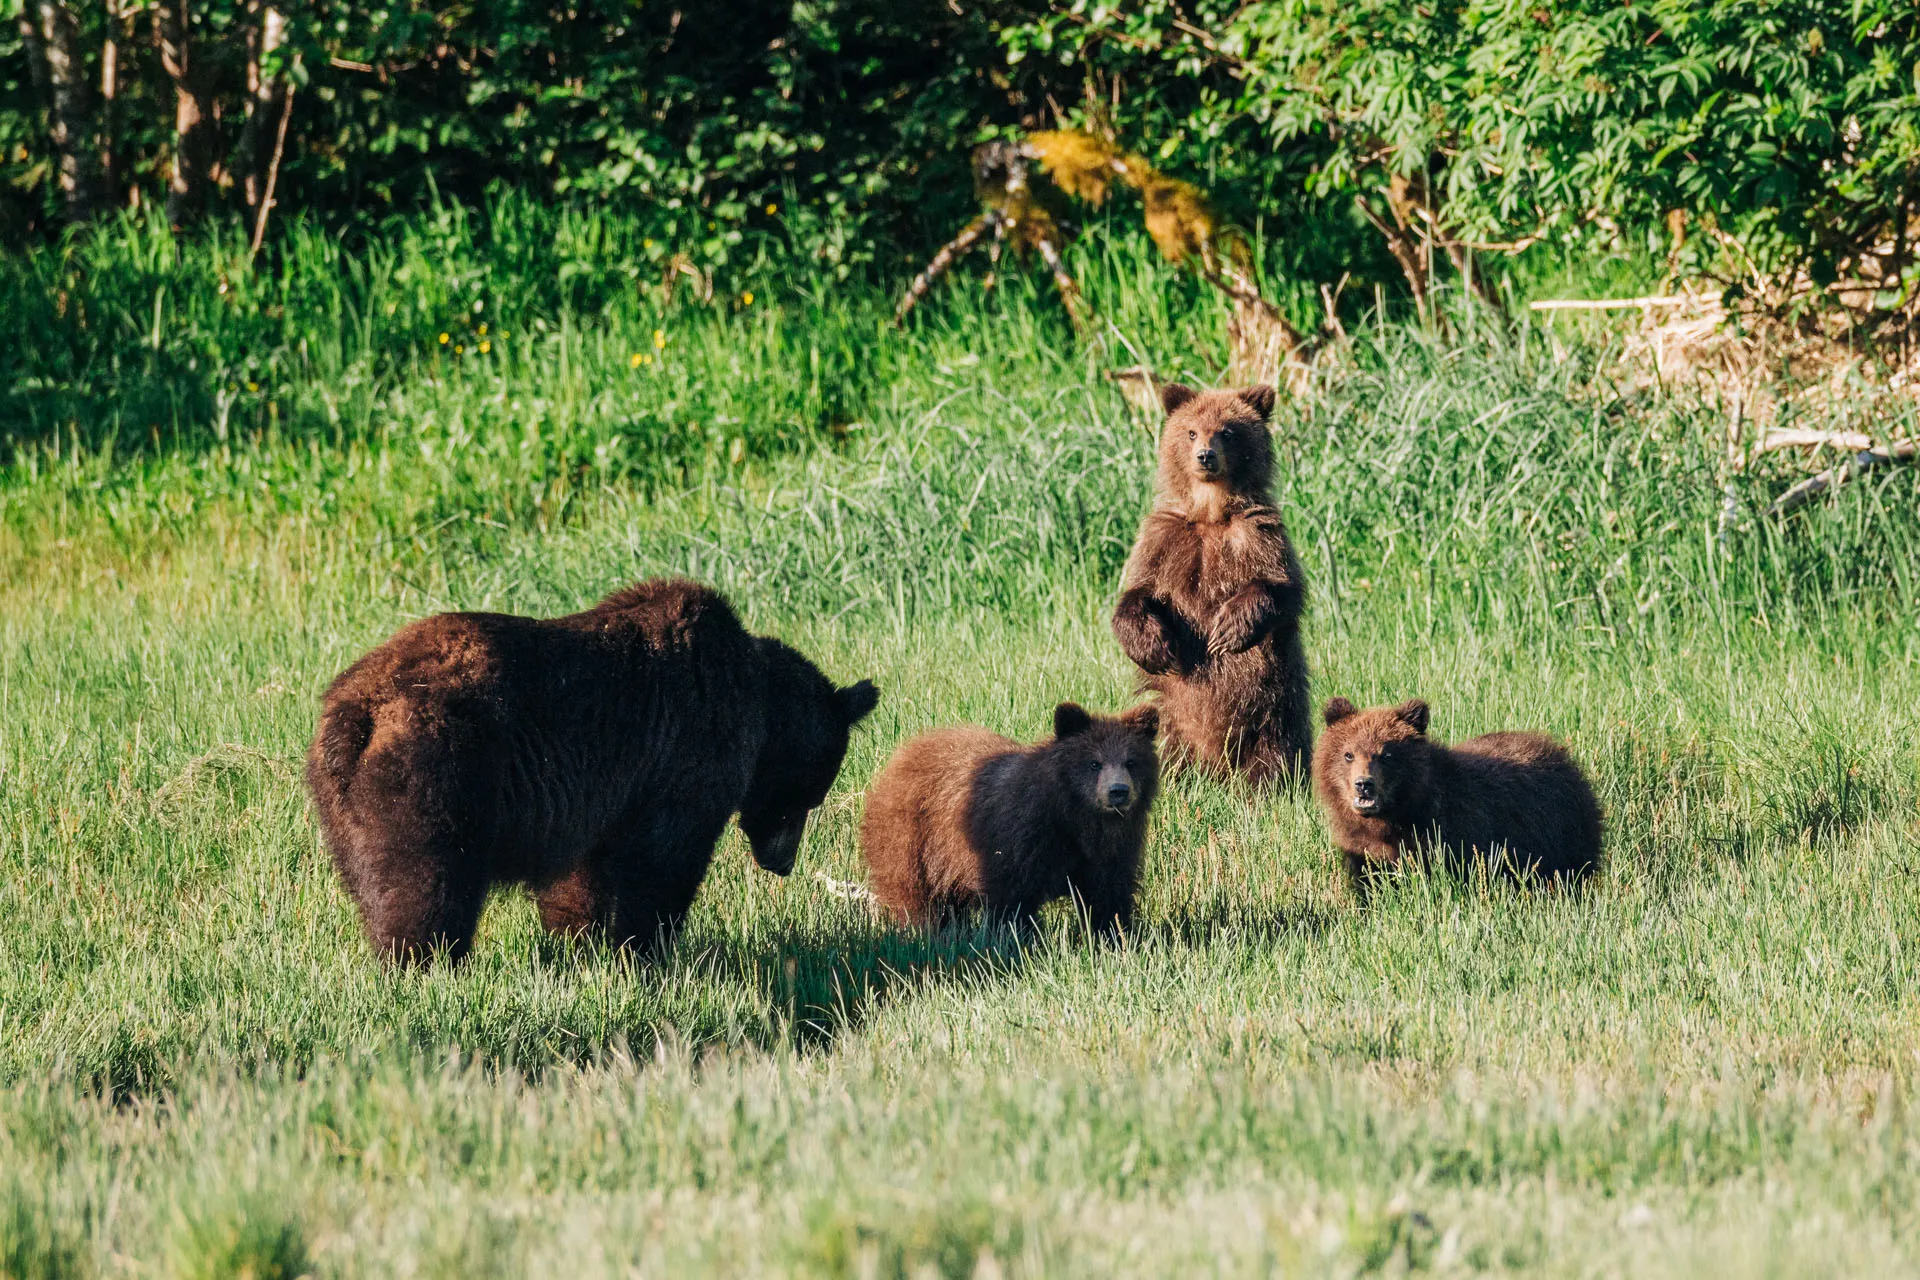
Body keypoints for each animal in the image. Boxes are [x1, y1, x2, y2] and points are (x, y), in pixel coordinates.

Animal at [305, 577, 879, 964]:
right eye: (809, 797)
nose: (782, 862)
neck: (759, 708)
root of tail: (356, 713)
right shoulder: (685, 753)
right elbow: (663, 859)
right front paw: (647, 950)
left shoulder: (597, 793)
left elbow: (581, 873)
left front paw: (579, 944)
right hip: (436, 771)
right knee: (427, 884)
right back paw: (424, 964)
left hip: (342, 806)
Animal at [859, 702, 1160, 936]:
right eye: (1094, 763)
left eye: (1131, 762)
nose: (1118, 792)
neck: (1074, 818)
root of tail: (904, 753)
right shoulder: (1019, 838)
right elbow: (1012, 898)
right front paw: (1019, 939)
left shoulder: (1109, 851)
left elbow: (1108, 893)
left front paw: (1114, 936)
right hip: (914, 837)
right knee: (915, 892)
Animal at [1111, 382, 1311, 786]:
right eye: (1191, 431)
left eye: (1227, 432)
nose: (1205, 456)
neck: (1211, 512)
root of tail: (1217, 767)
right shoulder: (1165, 539)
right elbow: (1136, 591)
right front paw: (1154, 646)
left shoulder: (1258, 535)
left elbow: (1281, 588)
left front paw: (1229, 629)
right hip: (1172, 715)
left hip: (1276, 705)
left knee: (1276, 751)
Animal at [1313, 696, 1602, 893]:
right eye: (1348, 754)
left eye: (1387, 754)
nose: (1364, 784)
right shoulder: (1361, 847)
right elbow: (1369, 882)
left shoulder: (1453, 835)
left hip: (1563, 833)